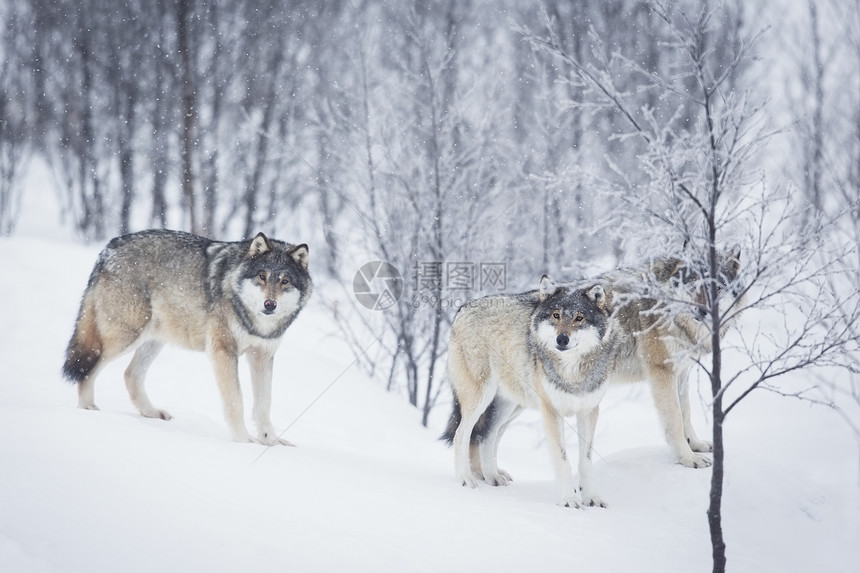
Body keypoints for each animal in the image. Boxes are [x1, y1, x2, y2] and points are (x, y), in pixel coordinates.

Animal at [63, 228, 312, 442]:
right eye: (262, 276)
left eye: (285, 281)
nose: (270, 305)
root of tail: (109, 247)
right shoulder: (223, 351)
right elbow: (236, 401)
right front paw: (244, 441)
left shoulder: (262, 355)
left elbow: (264, 405)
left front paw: (272, 442)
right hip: (125, 337)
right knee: (88, 367)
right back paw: (87, 409)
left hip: (153, 340)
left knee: (130, 374)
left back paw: (151, 412)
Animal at [444, 274, 620, 508]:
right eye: (556, 315)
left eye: (579, 318)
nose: (561, 339)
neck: (572, 372)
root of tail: (463, 308)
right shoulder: (551, 412)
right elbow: (563, 461)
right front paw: (569, 500)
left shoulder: (589, 411)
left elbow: (586, 461)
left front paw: (592, 498)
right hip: (480, 398)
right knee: (462, 434)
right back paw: (465, 479)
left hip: (511, 406)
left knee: (487, 436)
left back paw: (493, 477)